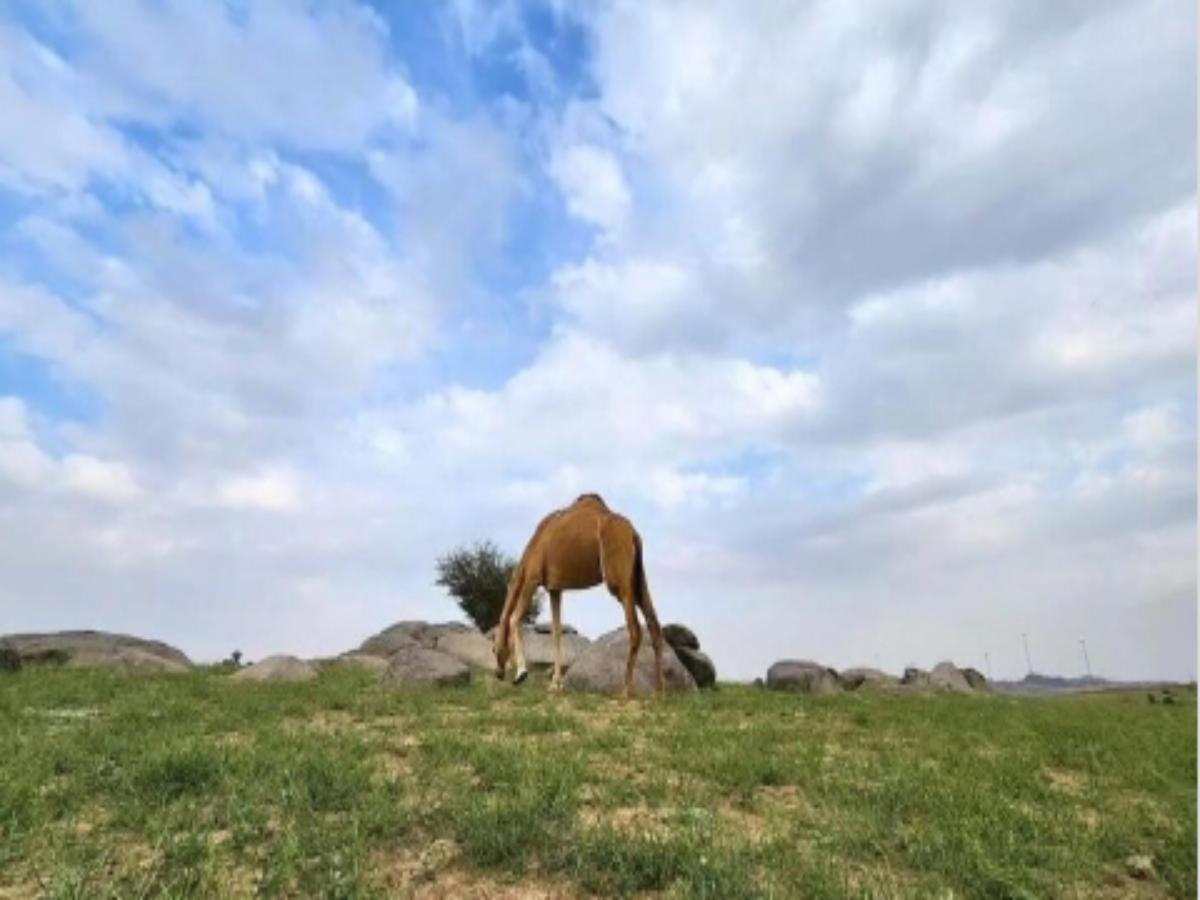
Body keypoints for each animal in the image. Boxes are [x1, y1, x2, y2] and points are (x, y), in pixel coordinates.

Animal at [494, 494, 672, 696]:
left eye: (493, 649)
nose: (498, 673)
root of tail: (634, 534)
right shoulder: (555, 588)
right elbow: (556, 632)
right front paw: (555, 684)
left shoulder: (533, 578)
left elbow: (514, 619)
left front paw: (521, 674)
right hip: (638, 579)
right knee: (654, 624)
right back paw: (660, 690)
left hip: (618, 581)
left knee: (635, 629)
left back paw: (626, 689)